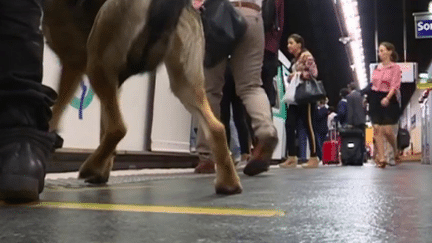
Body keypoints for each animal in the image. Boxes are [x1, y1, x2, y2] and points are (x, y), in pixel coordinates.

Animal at [44, 0, 243, 195]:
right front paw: (102, 173)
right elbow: (102, 127)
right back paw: (229, 184)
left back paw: (89, 166)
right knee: (216, 128)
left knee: (118, 128)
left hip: (98, 61)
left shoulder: (73, 65)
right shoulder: (113, 82)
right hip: (185, 83)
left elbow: (56, 112)